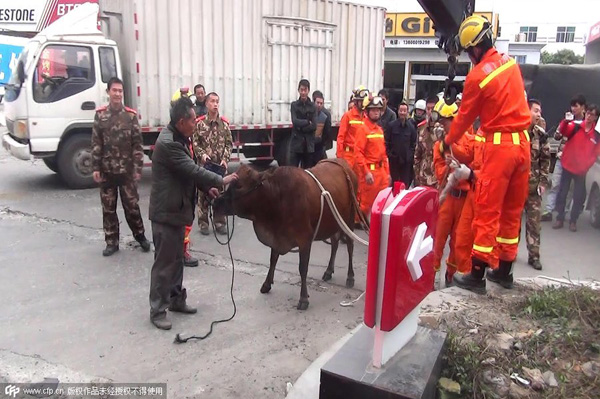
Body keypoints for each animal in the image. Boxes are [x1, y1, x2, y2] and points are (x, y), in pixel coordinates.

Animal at [213, 159, 358, 312]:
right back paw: (329, 271)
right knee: (335, 243)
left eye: (239, 186)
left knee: (350, 245)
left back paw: (350, 277)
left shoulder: (304, 239)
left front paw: (303, 298)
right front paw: (266, 284)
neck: (278, 198)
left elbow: (302, 268)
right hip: (334, 222)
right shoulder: (276, 237)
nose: (215, 202)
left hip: (349, 219)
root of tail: (342, 163)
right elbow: (273, 260)